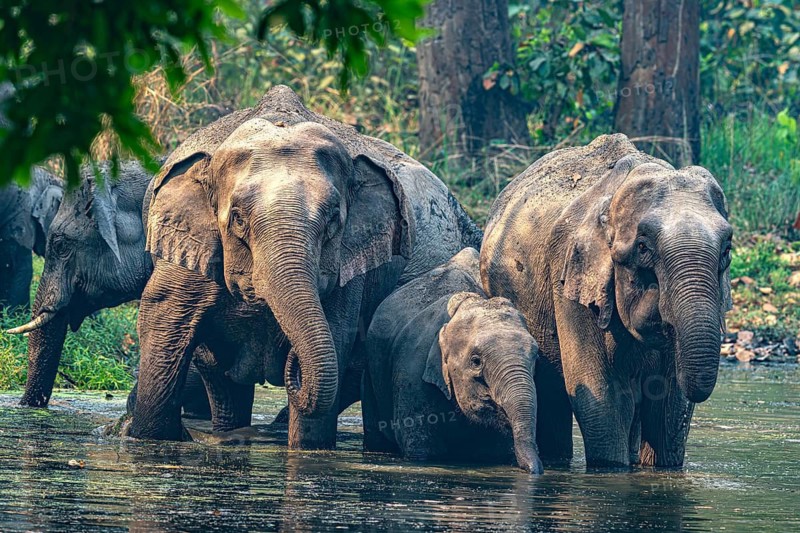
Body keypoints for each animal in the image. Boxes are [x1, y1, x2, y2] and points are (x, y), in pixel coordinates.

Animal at [128, 85, 483, 448]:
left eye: (333, 221)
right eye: (238, 220)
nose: (290, 360)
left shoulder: (347, 269)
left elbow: (335, 338)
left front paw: (306, 449)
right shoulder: (189, 249)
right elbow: (164, 316)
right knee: (222, 380)